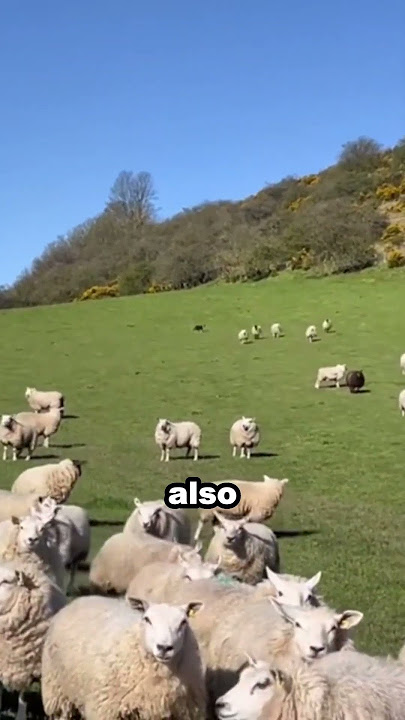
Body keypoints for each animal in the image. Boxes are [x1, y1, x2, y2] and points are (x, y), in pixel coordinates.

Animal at [41, 592, 207, 720]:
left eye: (183, 622)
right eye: (147, 619)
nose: (164, 647)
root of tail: (83, 598)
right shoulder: (106, 711)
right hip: (58, 695)